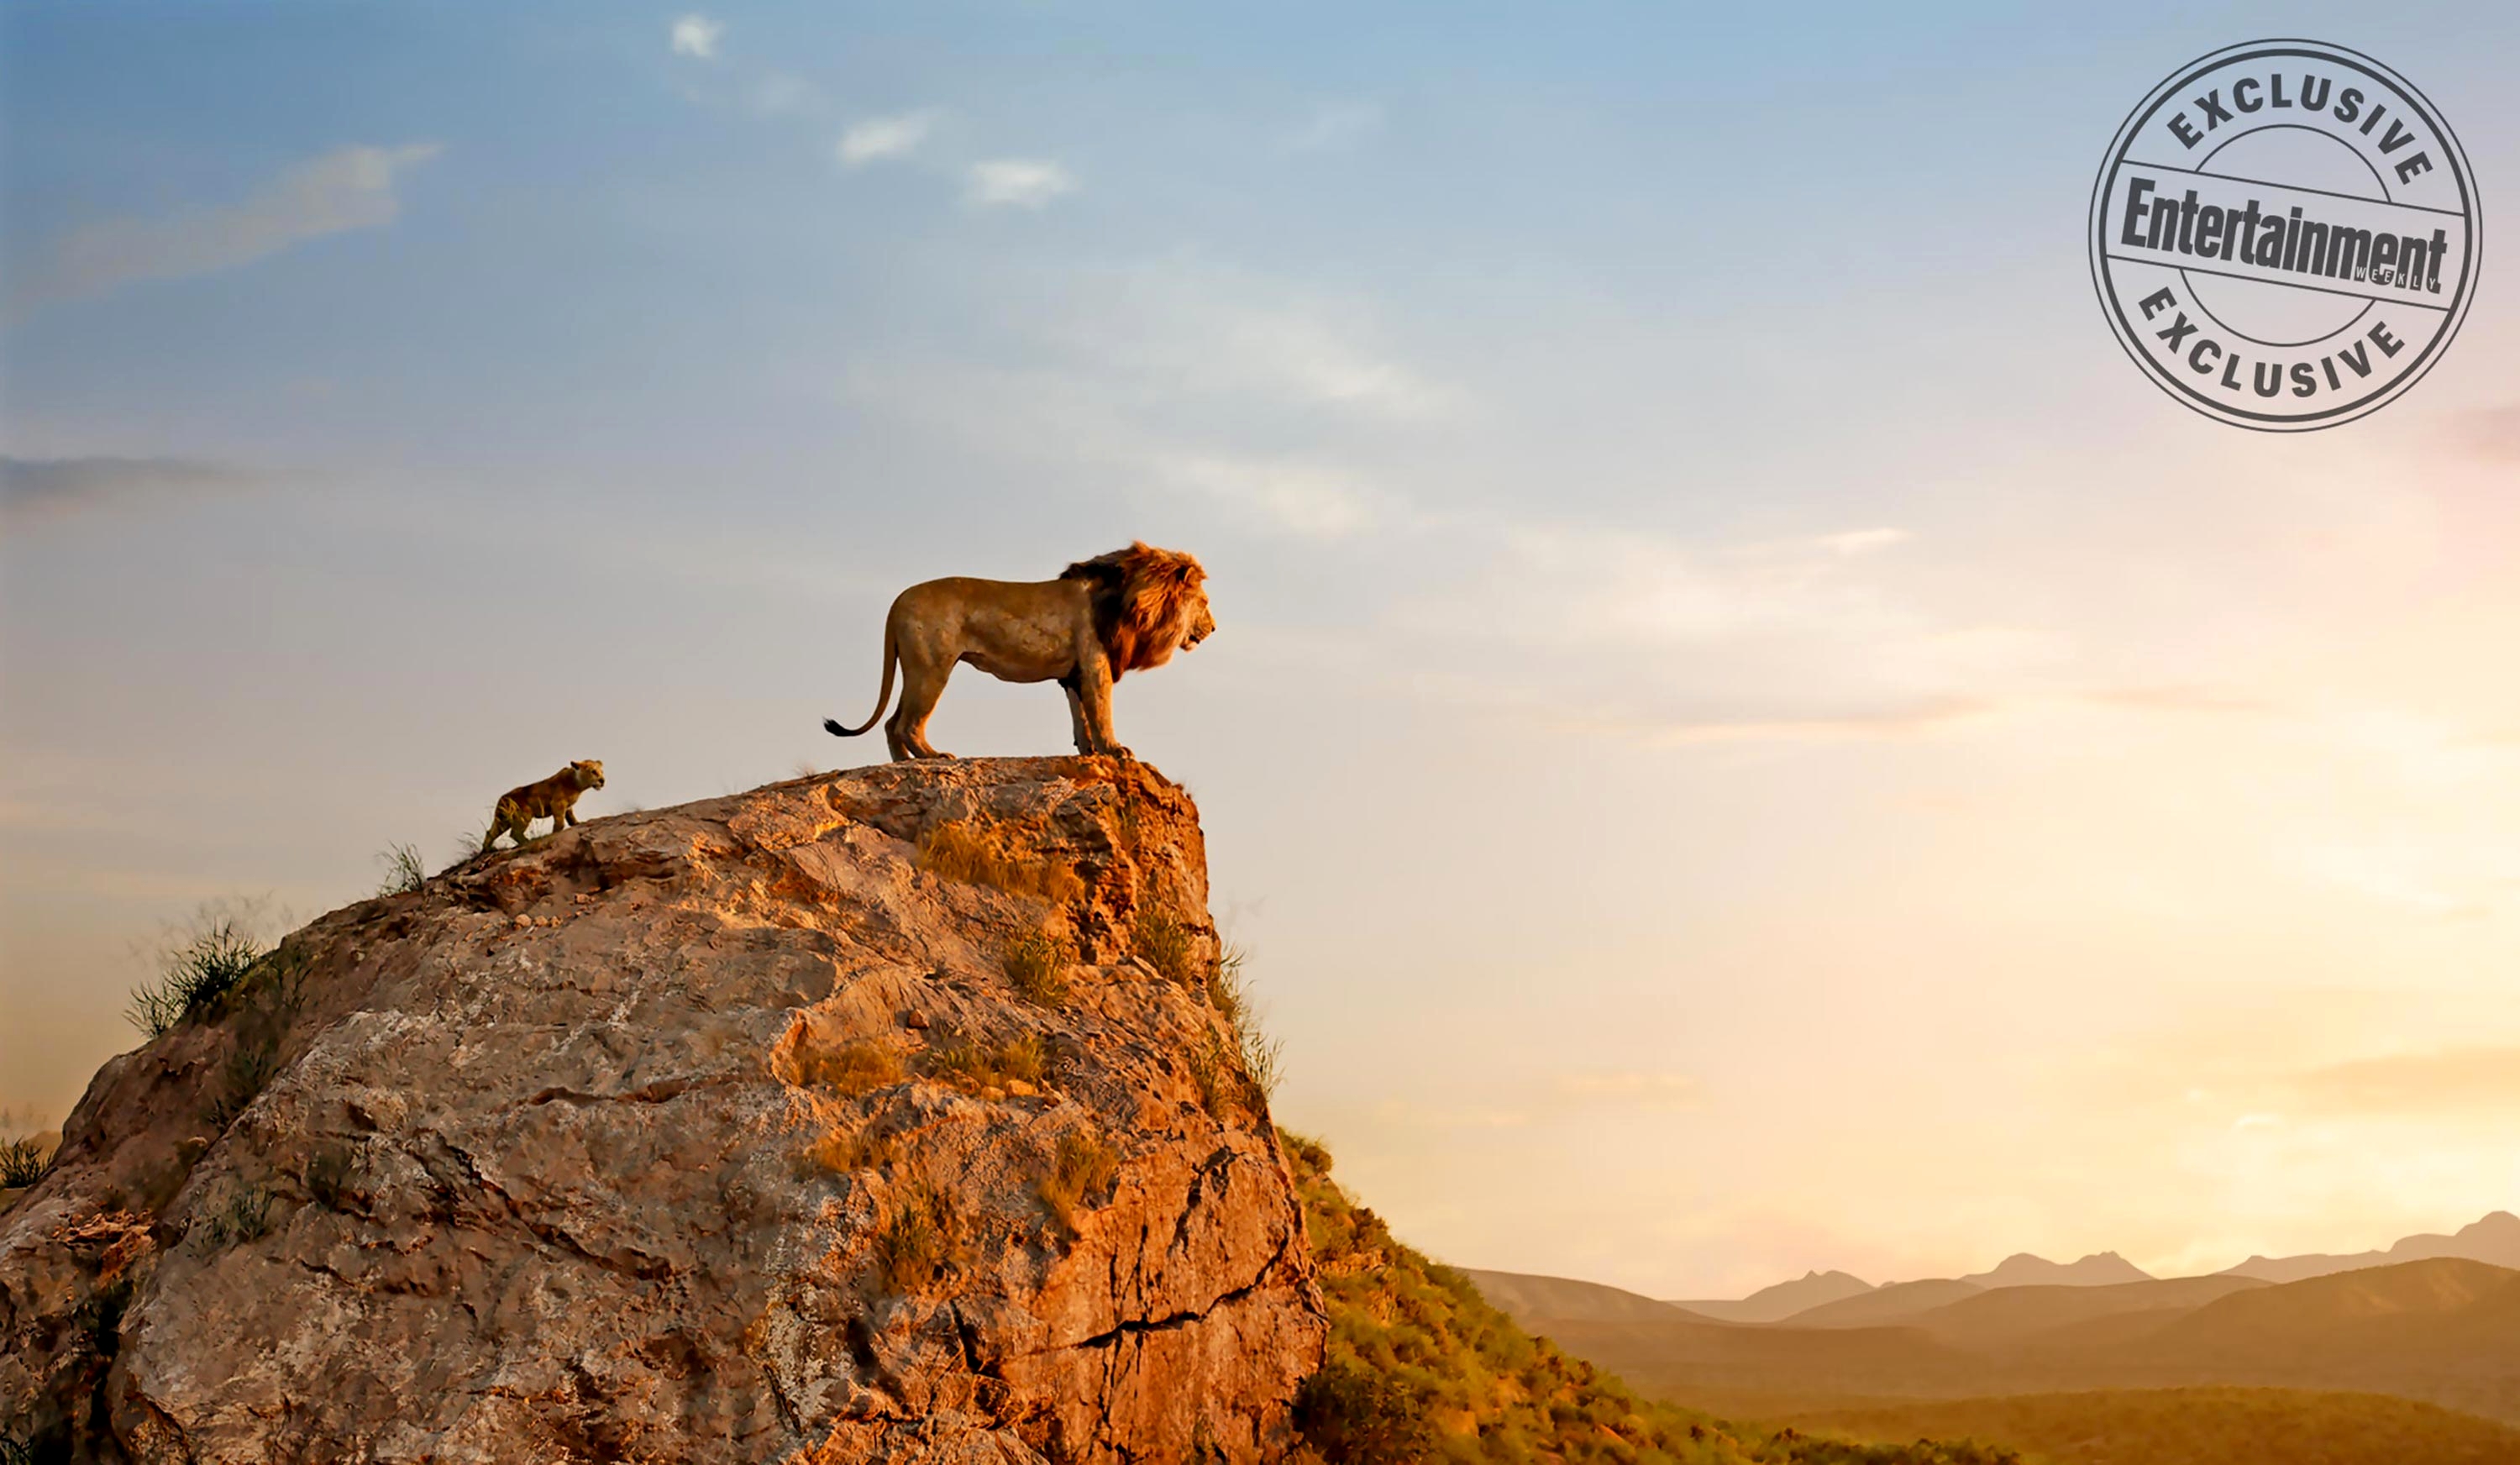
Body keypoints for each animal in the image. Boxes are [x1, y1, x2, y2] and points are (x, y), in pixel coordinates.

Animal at [822, 539, 1215, 766]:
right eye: (1204, 602)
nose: (1213, 628)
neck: (1128, 600)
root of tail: (897, 601)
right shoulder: (1096, 665)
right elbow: (1101, 713)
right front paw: (1115, 750)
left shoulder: (1074, 674)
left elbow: (1081, 717)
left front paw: (1089, 752)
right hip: (934, 669)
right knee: (907, 724)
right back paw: (934, 758)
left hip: (914, 668)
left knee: (891, 723)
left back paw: (904, 765)